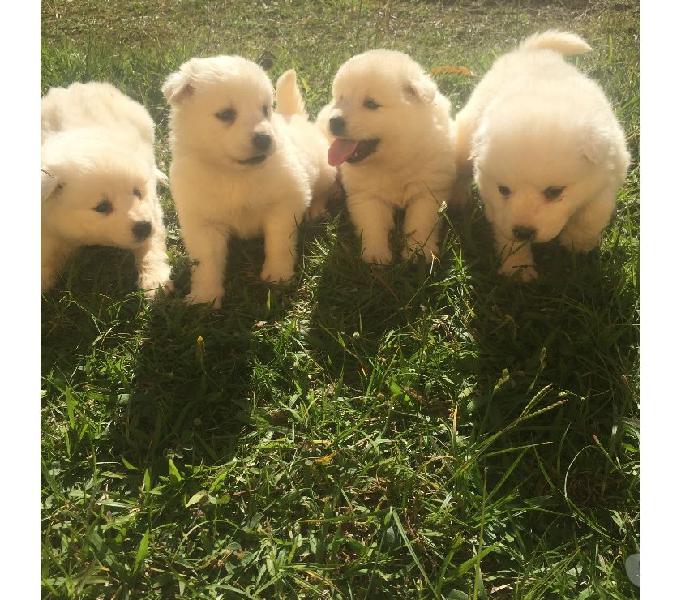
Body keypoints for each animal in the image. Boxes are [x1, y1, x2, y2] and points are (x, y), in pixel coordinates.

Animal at [41, 82, 173, 298]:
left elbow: (151, 248)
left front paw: (155, 282)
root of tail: (83, 86)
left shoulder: (152, 209)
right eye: (102, 207)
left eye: (137, 192)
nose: (144, 226)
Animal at [165, 56, 334, 308]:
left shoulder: (284, 204)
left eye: (265, 109)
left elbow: (278, 242)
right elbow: (206, 262)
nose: (265, 139)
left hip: (325, 170)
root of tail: (293, 118)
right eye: (226, 114)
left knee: (322, 192)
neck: (234, 174)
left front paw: (278, 275)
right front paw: (205, 297)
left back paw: (316, 210)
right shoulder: (202, 222)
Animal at [322, 50, 460, 266]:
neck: (393, 160)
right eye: (340, 99)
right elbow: (373, 224)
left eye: (371, 104)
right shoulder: (366, 195)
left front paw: (419, 252)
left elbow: (420, 222)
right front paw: (375, 255)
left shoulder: (427, 191)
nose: (333, 121)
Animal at [454, 29, 628, 280]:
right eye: (503, 189)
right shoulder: (500, 210)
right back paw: (458, 198)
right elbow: (508, 237)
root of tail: (529, 51)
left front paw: (578, 243)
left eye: (554, 192)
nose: (524, 232)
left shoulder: (608, 174)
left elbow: (592, 213)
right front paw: (518, 269)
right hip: (464, 137)